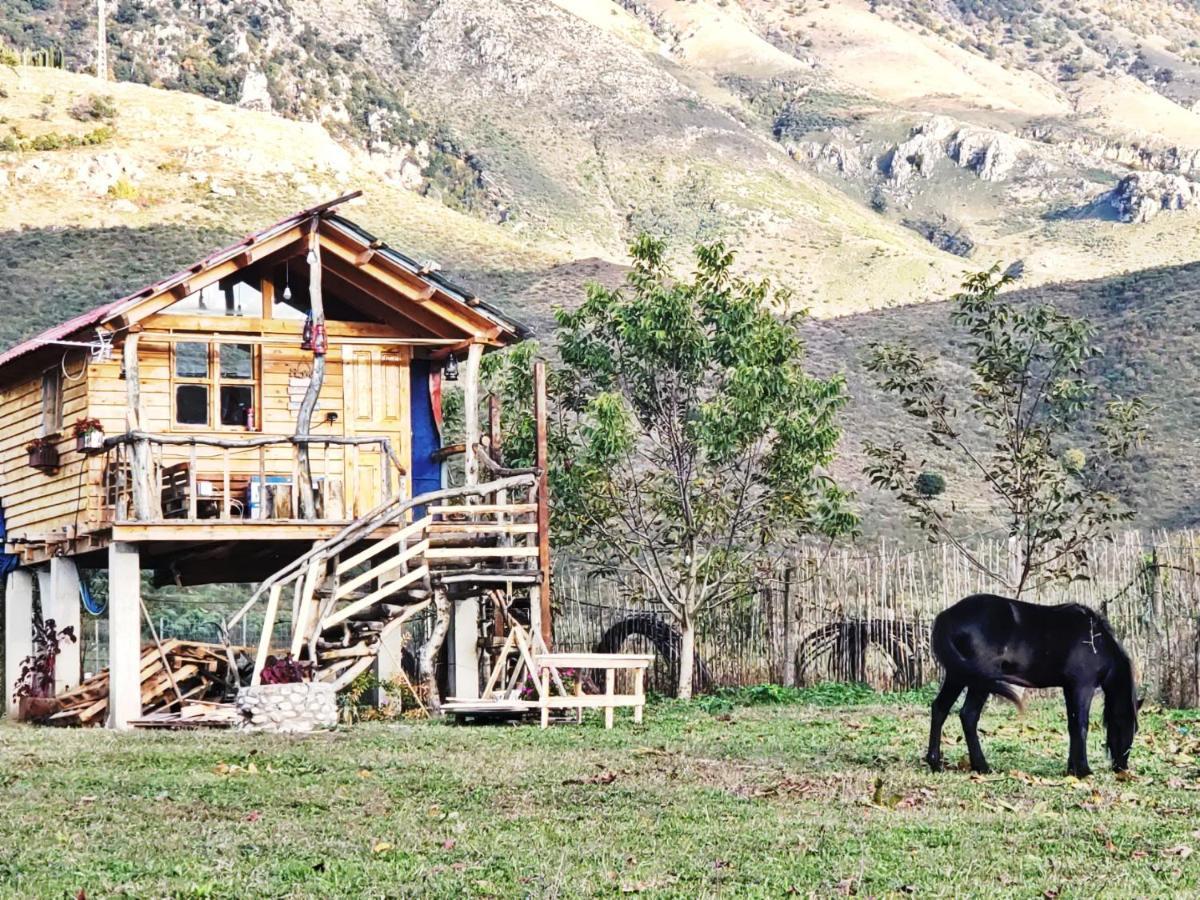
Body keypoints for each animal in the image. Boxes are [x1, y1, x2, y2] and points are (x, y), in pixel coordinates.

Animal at [926, 595, 1142, 777]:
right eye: (1130, 727)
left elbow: (1072, 725)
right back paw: (982, 766)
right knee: (968, 715)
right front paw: (1083, 771)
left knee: (940, 709)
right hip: (978, 681)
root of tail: (947, 617)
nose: (1122, 768)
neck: (1097, 641)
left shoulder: (1069, 688)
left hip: (958, 675)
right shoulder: (1083, 687)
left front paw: (1072, 769)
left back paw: (935, 763)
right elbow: (1081, 725)